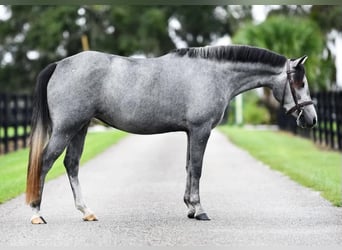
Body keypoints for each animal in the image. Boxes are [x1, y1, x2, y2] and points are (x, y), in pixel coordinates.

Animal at [25, 45, 316, 225]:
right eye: (300, 82)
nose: (311, 119)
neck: (213, 74)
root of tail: (60, 64)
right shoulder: (200, 130)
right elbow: (197, 168)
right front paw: (199, 210)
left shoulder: (190, 132)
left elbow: (188, 167)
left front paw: (190, 207)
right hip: (66, 128)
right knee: (45, 162)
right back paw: (37, 213)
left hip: (80, 128)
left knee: (71, 164)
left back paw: (86, 212)